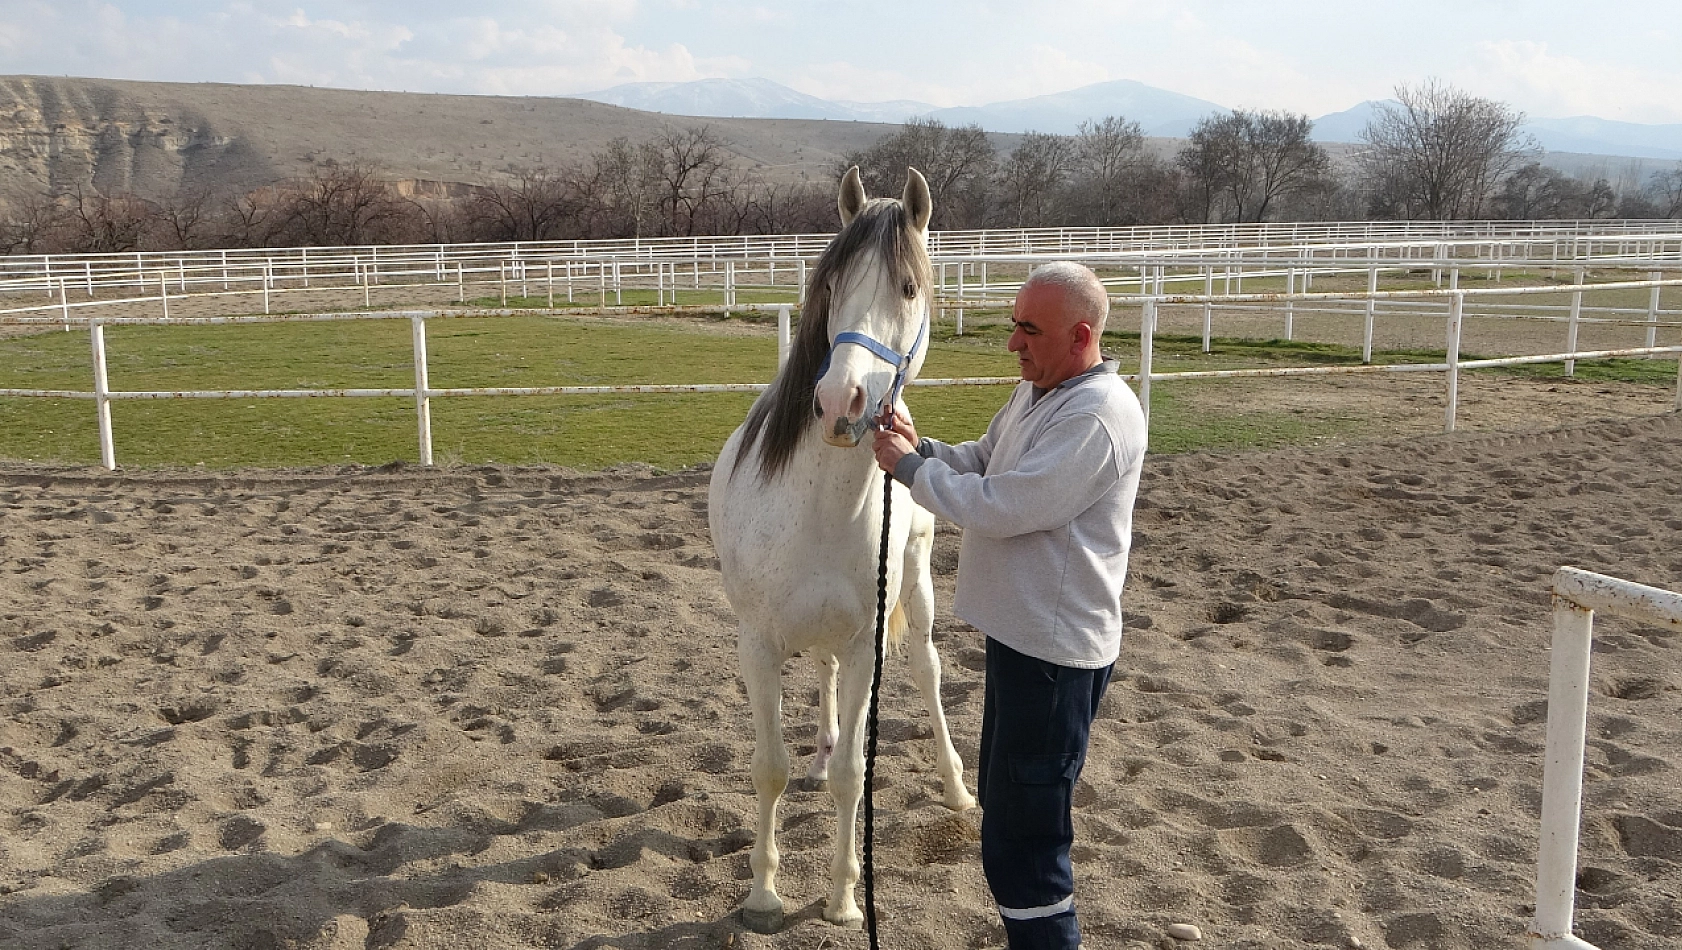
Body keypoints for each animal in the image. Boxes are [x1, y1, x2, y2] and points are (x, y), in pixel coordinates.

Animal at [706, 166, 975, 928]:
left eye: (909, 288)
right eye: (830, 284)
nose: (840, 402)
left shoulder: (865, 647)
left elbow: (855, 775)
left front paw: (843, 898)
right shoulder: (758, 644)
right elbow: (769, 767)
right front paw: (763, 895)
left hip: (916, 588)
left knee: (929, 671)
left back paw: (956, 787)